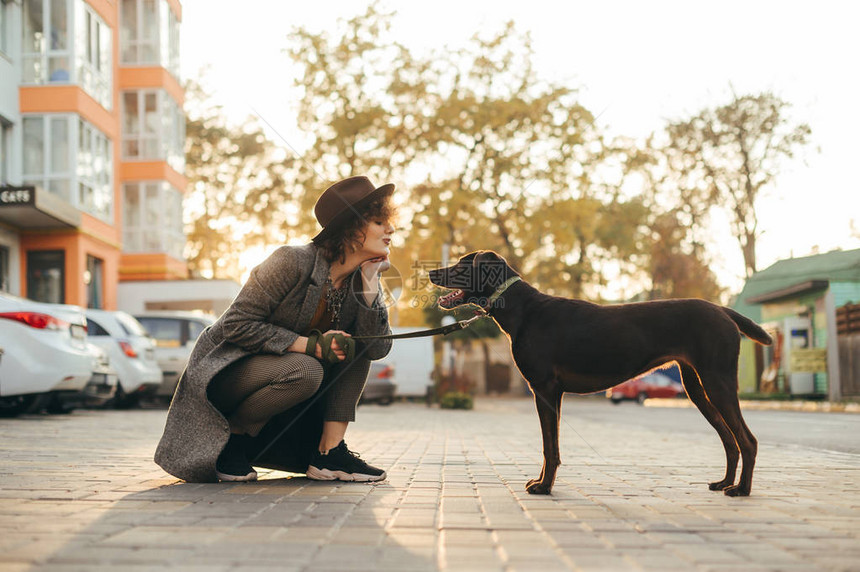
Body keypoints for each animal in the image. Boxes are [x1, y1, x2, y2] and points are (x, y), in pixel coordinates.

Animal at [430, 250, 772, 496]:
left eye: (462, 264)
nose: (431, 272)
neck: (522, 310)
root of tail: (724, 311)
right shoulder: (551, 392)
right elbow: (550, 445)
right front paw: (542, 482)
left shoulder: (545, 389)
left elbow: (549, 447)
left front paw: (544, 487)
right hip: (697, 386)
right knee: (730, 440)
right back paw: (725, 483)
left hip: (717, 382)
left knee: (748, 440)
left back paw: (741, 489)